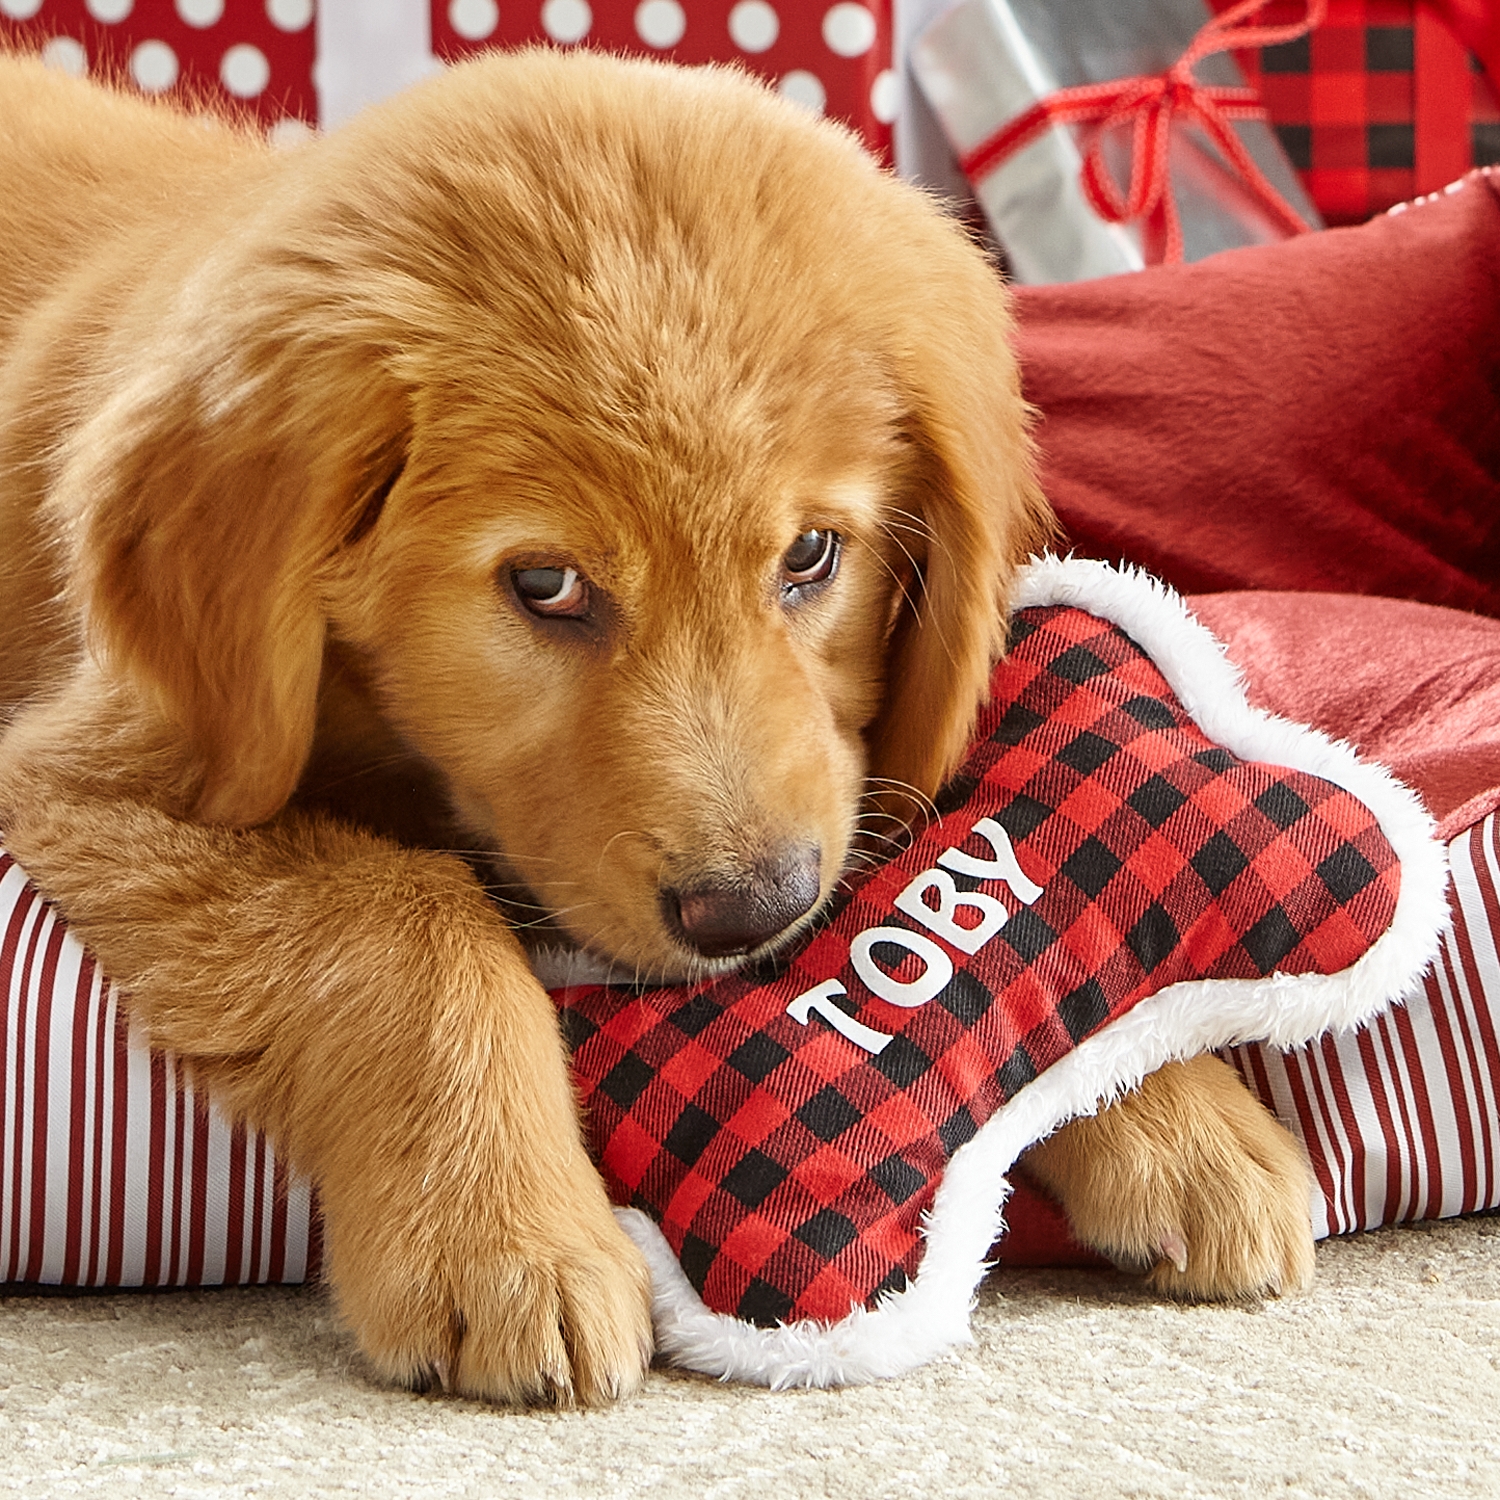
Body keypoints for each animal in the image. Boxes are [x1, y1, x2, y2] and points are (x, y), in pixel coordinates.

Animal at [0, 49, 1314, 1404]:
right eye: (545, 585)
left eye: (810, 554)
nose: (753, 912)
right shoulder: (114, 777)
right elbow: (403, 916)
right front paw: (509, 1238)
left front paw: (1175, 1114)